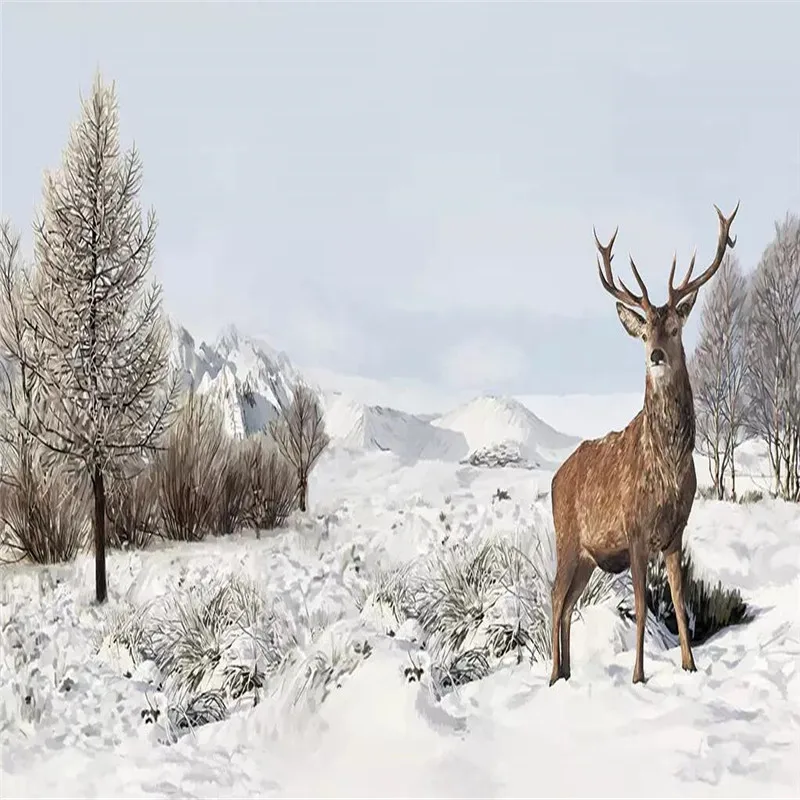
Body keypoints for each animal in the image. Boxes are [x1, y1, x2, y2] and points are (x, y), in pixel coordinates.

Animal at [549, 202, 739, 686]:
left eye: (673, 327)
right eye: (645, 330)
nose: (655, 355)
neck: (668, 466)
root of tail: (555, 479)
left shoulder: (675, 533)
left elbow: (679, 601)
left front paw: (690, 665)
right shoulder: (633, 528)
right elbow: (638, 605)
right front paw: (638, 676)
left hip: (587, 556)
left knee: (568, 602)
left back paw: (567, 673)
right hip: (566, 536)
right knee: (555, 597)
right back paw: (553, 674)